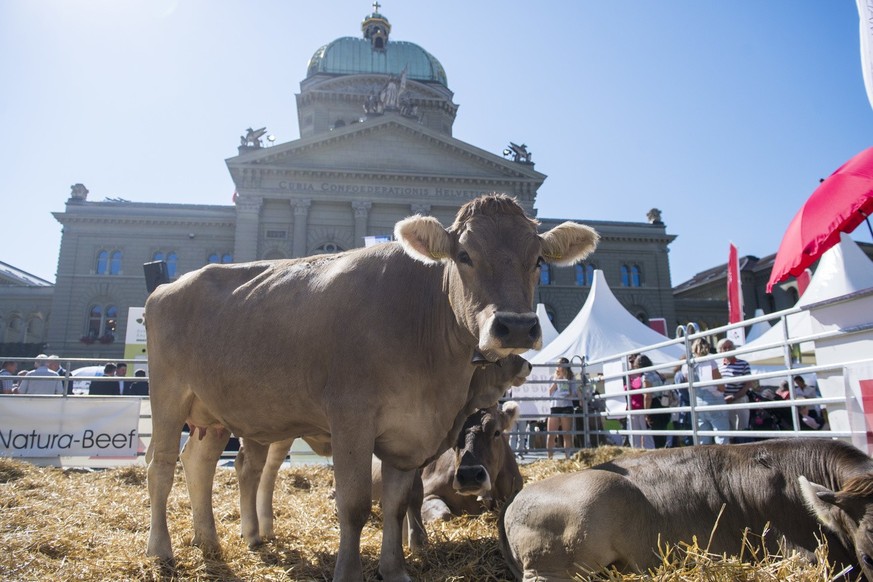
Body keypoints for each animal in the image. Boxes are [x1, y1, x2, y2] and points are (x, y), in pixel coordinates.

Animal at [145, 196, 600, 582]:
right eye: (464, 255)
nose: (517, 326)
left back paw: (209, 541)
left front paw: (395, 569)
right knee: (162, 467)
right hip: (168, 396)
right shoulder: (351, 417)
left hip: (213, 411)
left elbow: (397, 504)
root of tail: (168, 286)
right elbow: (355, 504)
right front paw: (349, 573)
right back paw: (161, 551)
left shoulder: (407, 435)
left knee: (200, 463)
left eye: (538, 259)